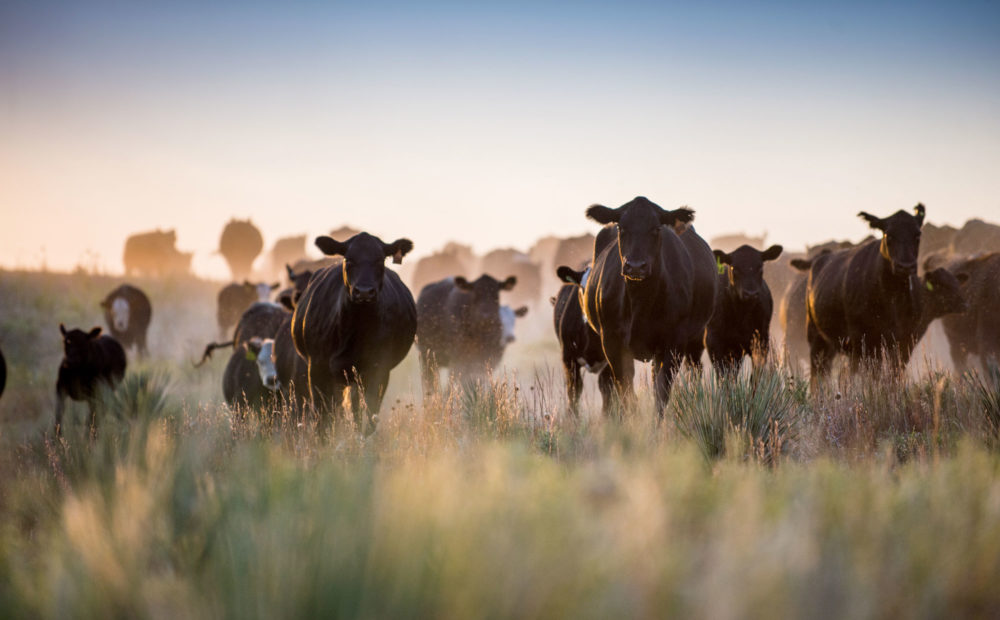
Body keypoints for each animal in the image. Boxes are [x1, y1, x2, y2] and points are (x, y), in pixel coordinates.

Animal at [292, 230, 416, 434]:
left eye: (380, 260)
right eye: (349, 260)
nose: (364, 292)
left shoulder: (379, 369)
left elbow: (371, 415)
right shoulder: (317, 368)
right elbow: (322, 419)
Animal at [580, 196, 720, 416]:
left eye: (656, 228)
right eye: (621, 227)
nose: (636, 266)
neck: (640, 303)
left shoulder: (673, 343)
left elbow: (661, 393)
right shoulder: (611, 342)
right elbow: (627, 393)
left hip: (695, 340)